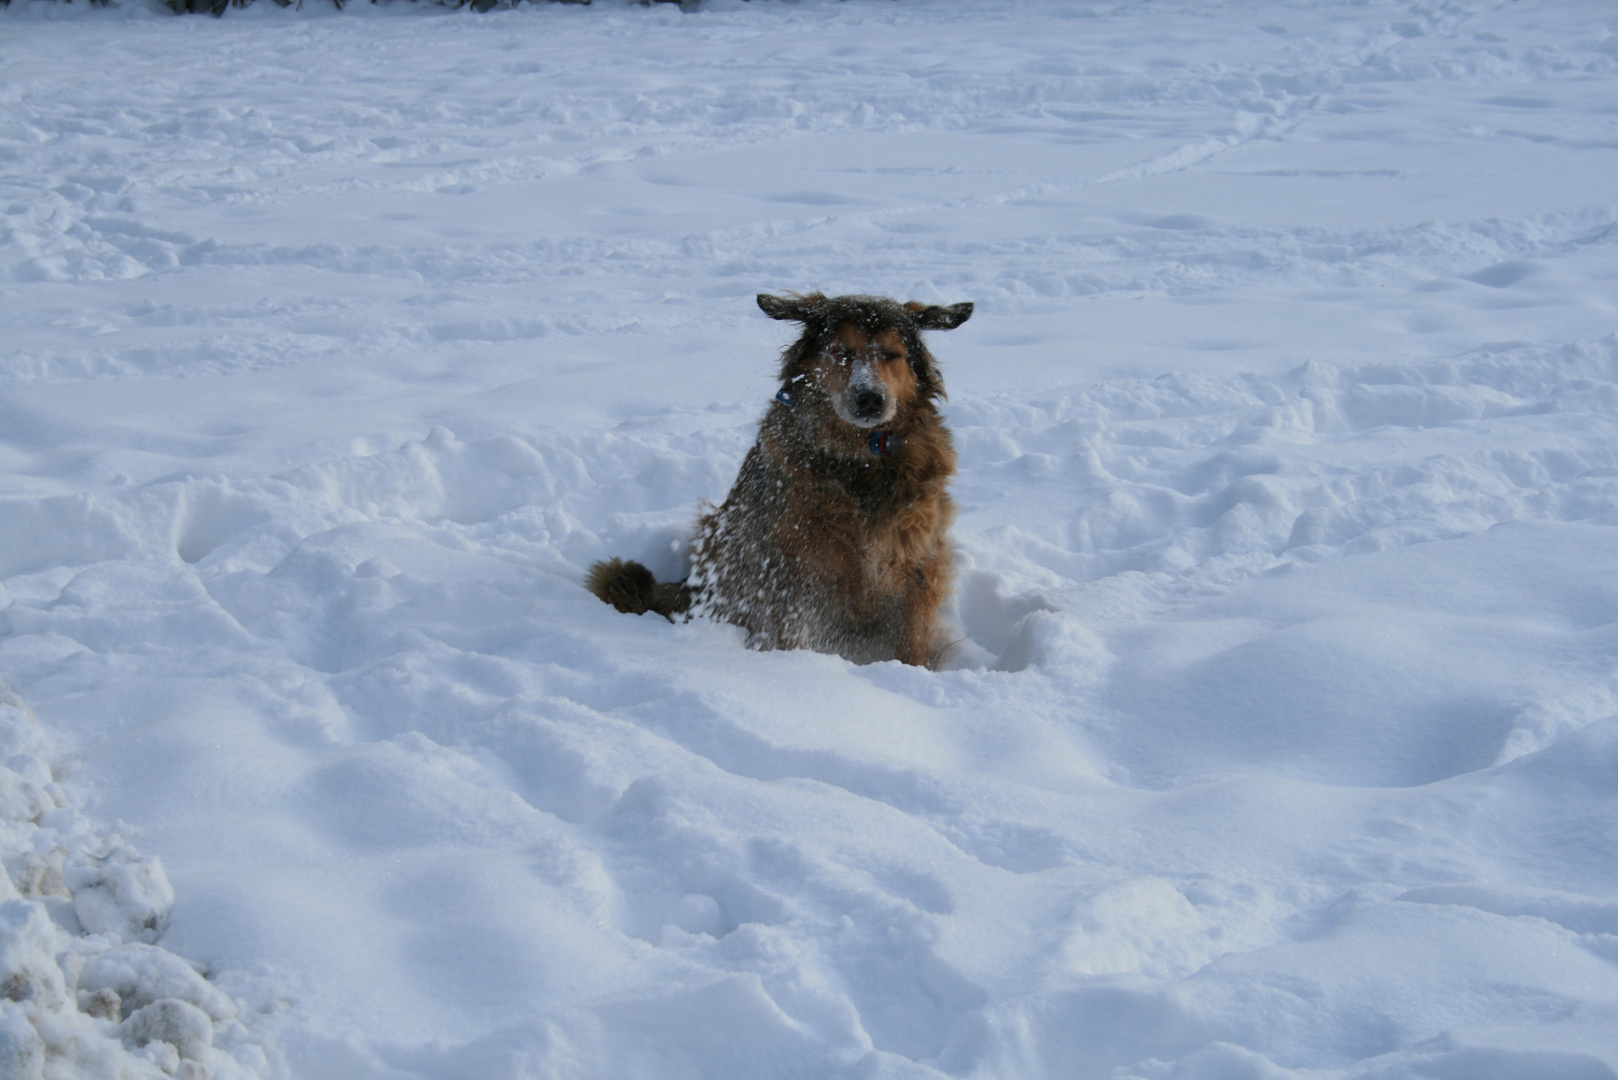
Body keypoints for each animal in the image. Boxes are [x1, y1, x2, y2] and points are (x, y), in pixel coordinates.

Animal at [592, 293, 970, 667]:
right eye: (842, 351)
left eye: (893, 355)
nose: (870, 398)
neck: (860, 463)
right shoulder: (787, 566)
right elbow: (791, 632)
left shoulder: (921, 559)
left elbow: (913, 638)